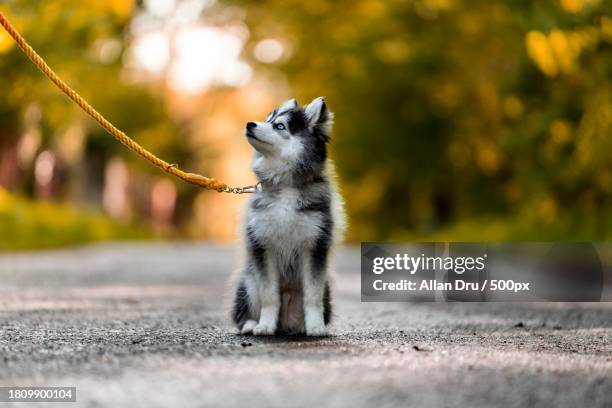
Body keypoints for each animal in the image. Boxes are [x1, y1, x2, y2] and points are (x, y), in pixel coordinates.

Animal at [232, 97, 344, 336]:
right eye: (267, 119)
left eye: (279, 126)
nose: (249, 124)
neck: (286, 187)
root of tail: (285, 324)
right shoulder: (262, 245)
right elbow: (269, 295)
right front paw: (265, 324)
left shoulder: (315, 246)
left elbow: (312, 296)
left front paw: (316, 326)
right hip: (249, 282)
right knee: (245, 311)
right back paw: (251, 324)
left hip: (326, 288)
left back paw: (302, 326)